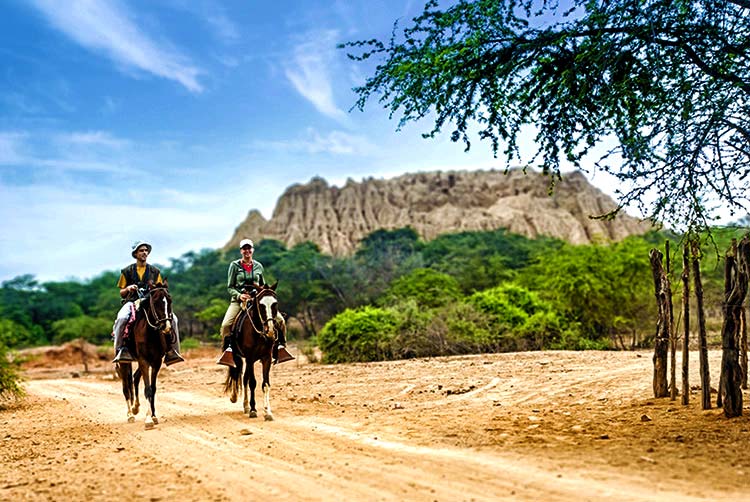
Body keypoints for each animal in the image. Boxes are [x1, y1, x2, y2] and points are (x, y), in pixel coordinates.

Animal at [117, 280, 176, 430]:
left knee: (135, 377)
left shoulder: (156, 362)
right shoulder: (143, 360)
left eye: (169, 300)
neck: (150, 333)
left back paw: (136, 407)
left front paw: (153, 416)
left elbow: (152, 389)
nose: (167, 326)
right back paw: (130, 414)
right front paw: (148, 420)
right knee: (125, 387)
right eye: (155, 301)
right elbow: (148, 389)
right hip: (124, 362)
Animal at [225, 282, 284, 420]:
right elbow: (252, 382)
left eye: (275, 304)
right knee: (236, 373)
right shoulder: (250, 357)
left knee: (244, 378)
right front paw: (253, 410)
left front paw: (268, 412)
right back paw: (235, 398)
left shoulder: (266, 357)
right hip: (237, 356)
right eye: (261, 305)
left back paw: (246, 406)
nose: (270, 330)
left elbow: (265, 384)